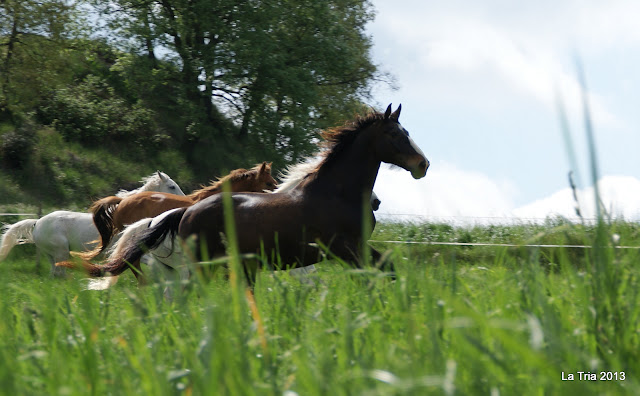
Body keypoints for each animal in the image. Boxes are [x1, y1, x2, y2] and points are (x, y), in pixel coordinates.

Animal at [0, 170, 185, 276]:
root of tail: (37, 222)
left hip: (52, 255)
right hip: (61, 252)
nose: (185, 200)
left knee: (55, 274)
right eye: (172, 186)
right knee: (60, 274)